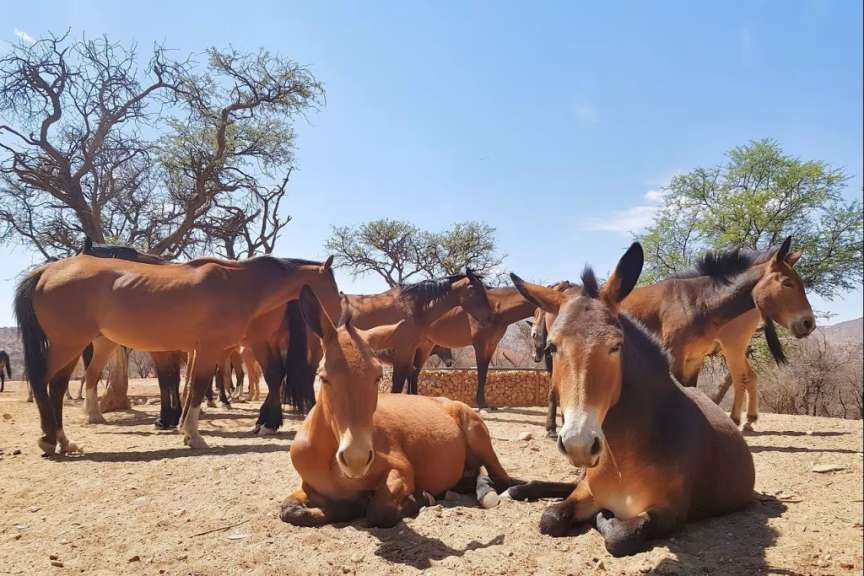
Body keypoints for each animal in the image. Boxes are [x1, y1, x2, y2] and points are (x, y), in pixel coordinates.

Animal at [15, 253, 340, 454]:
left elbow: (190, 387)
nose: (337, 320)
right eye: (333, 287)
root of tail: (46, 272)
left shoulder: (200, 351)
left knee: (56, 388)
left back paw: (63, 441)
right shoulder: (207, 349)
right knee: (45, 384)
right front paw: (193, 435)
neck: (238, 284)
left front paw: (183, 427)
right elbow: (195, 389)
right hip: (68, 345)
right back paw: (51, 439)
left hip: (72, 347)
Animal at [278, 286, 574, 528]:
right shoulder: (307, 487)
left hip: (481, 441)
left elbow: (379, 511)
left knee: (506, 481)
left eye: (377, 376)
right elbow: (290, 510)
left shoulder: (401, 471)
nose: (356, 459)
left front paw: (416, 499)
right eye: (323, 376)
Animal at [343, 272, 492, 395]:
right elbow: (398, 384)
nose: (489, 318)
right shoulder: (403, 352)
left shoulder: (410, 354)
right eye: (474, 289)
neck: (413, 309)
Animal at [509, 243, 755, 557]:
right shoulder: (586, 491)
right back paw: (520, 488)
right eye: (552, 346)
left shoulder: (670, 512)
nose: (578, 443)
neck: (623, 462)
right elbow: (551, 517)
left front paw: (604, 518)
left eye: (616, 345)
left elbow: (621, 534)